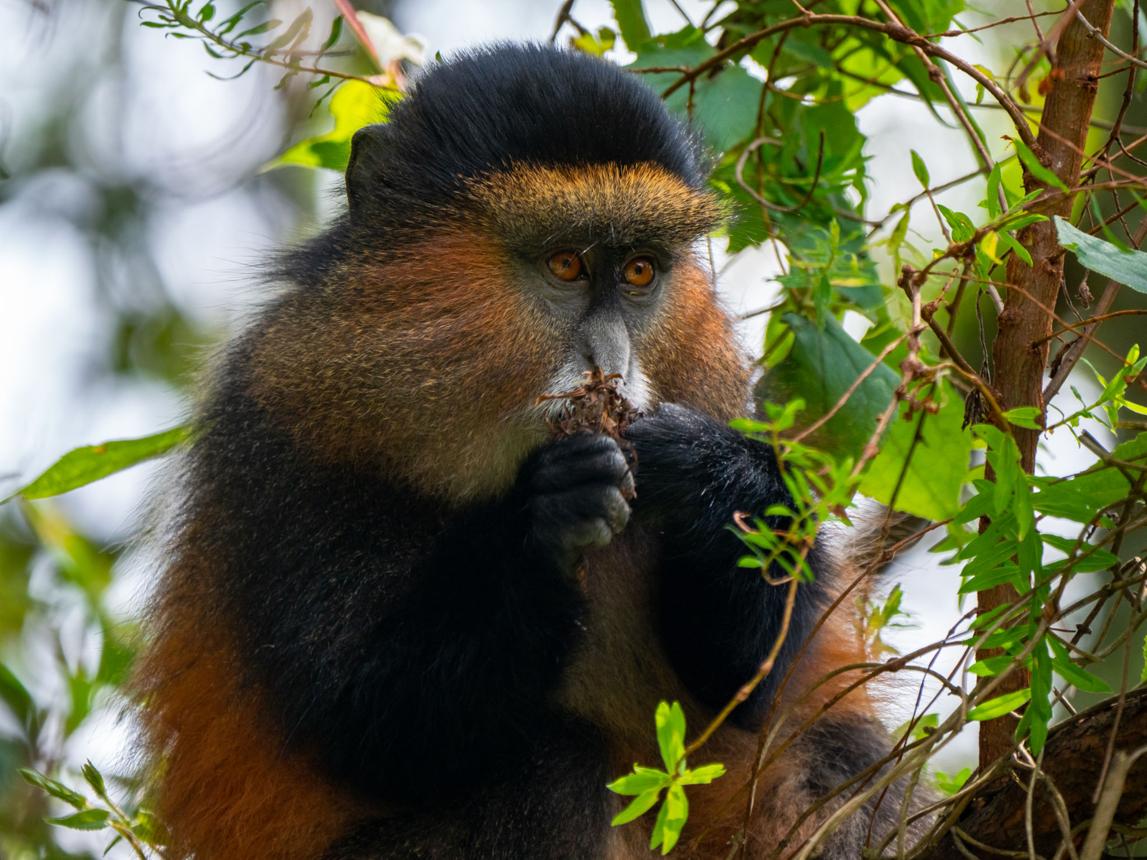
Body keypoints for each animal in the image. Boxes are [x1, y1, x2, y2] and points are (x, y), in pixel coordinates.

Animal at [136, 44, 926, 859]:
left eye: (639, 271)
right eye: (566, 265)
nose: (613, 362)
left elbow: (746, 682)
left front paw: (713, 474)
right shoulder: (280, 423)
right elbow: (368, 725)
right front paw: (549, 515)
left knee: (841, 755)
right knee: (551, 767)